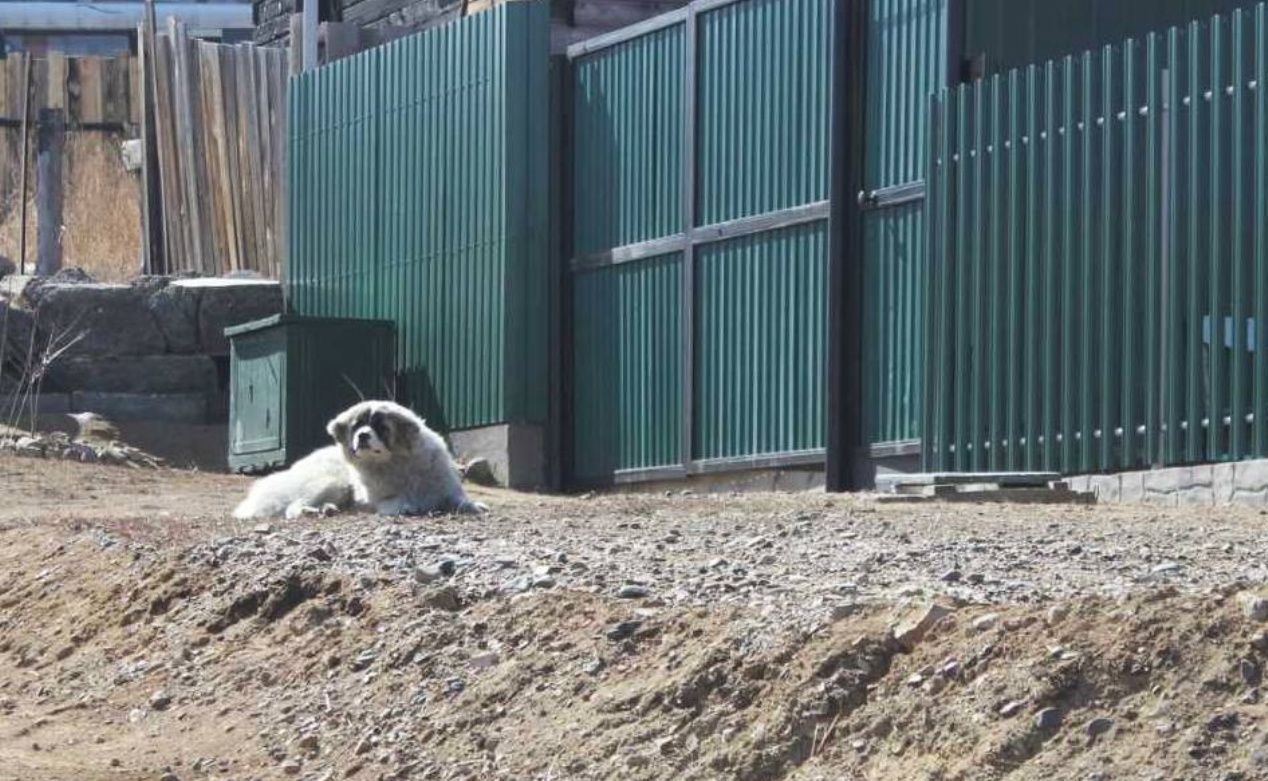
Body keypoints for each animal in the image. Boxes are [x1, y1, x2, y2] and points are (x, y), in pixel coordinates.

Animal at [230, 400, 481, 522]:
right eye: (357, 426)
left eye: (381, 427)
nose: (362, 436)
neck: (398, 465)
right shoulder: (377, 498)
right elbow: (396, 501)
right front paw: (406, 506)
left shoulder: (446, 489)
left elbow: (459, 499)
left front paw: (474, 506)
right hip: (334, 483)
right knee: (293, 508)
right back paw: (314, 511)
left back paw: (328, 509)